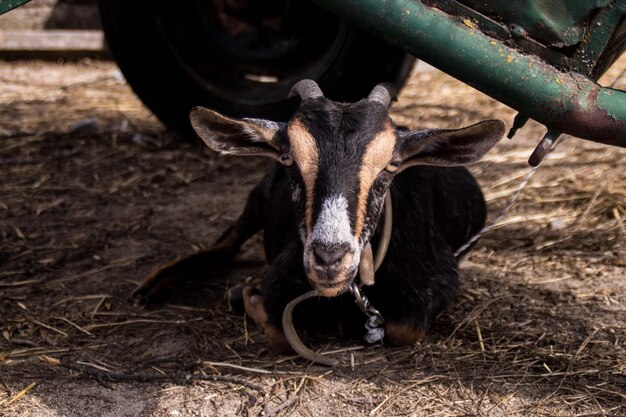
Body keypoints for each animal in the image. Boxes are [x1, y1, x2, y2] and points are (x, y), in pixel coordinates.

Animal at [134, 80, 504, 348]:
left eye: (391, 167)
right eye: (288, 160)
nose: (329, 258)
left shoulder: (441, 279)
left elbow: (404, 329)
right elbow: (279, 328)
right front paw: (245, 293)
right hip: (259, 196)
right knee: (228, 242)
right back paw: (154, 284)